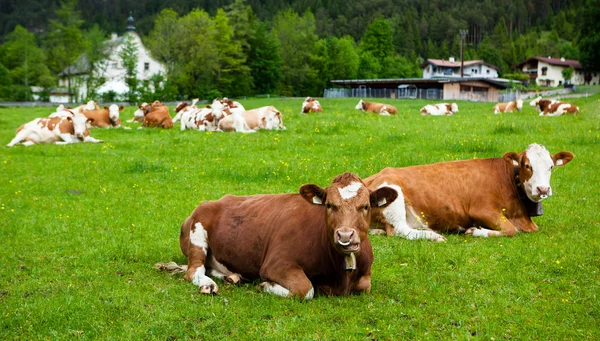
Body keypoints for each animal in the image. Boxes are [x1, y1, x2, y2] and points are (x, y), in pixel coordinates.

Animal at [156, 173, 398, 298]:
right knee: (194, 271)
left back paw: (233, 277)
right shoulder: (276, 264)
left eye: (365, 206)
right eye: (329, 205)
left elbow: (364, 286)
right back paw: (209, 285)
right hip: (197, 234)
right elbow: (305, 289)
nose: (345, 236)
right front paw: (265, 286)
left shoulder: (365, 277)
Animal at [364, 143, 576, 239]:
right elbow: (510, 230)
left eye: (551, 167)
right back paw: (434, 236)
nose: (543, 188)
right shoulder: (481, 209)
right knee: (401, 229)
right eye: (527, 165)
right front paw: (475, 231)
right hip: (394, 193)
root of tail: (376, 174)